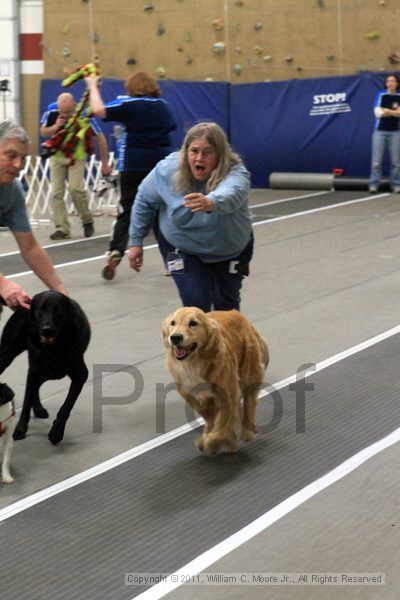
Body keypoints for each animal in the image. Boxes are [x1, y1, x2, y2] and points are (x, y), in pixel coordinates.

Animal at [0, 290, 90, 446]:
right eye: (40, 310)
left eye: (58, 310)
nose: (47, 330)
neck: (52, 349)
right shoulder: (35, 370)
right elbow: (26, 403)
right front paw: (20, 429)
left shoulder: (81, 375)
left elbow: (66, 405)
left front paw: (57, 432)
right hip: (8, 355)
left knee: (35, 388)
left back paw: (39, 409)